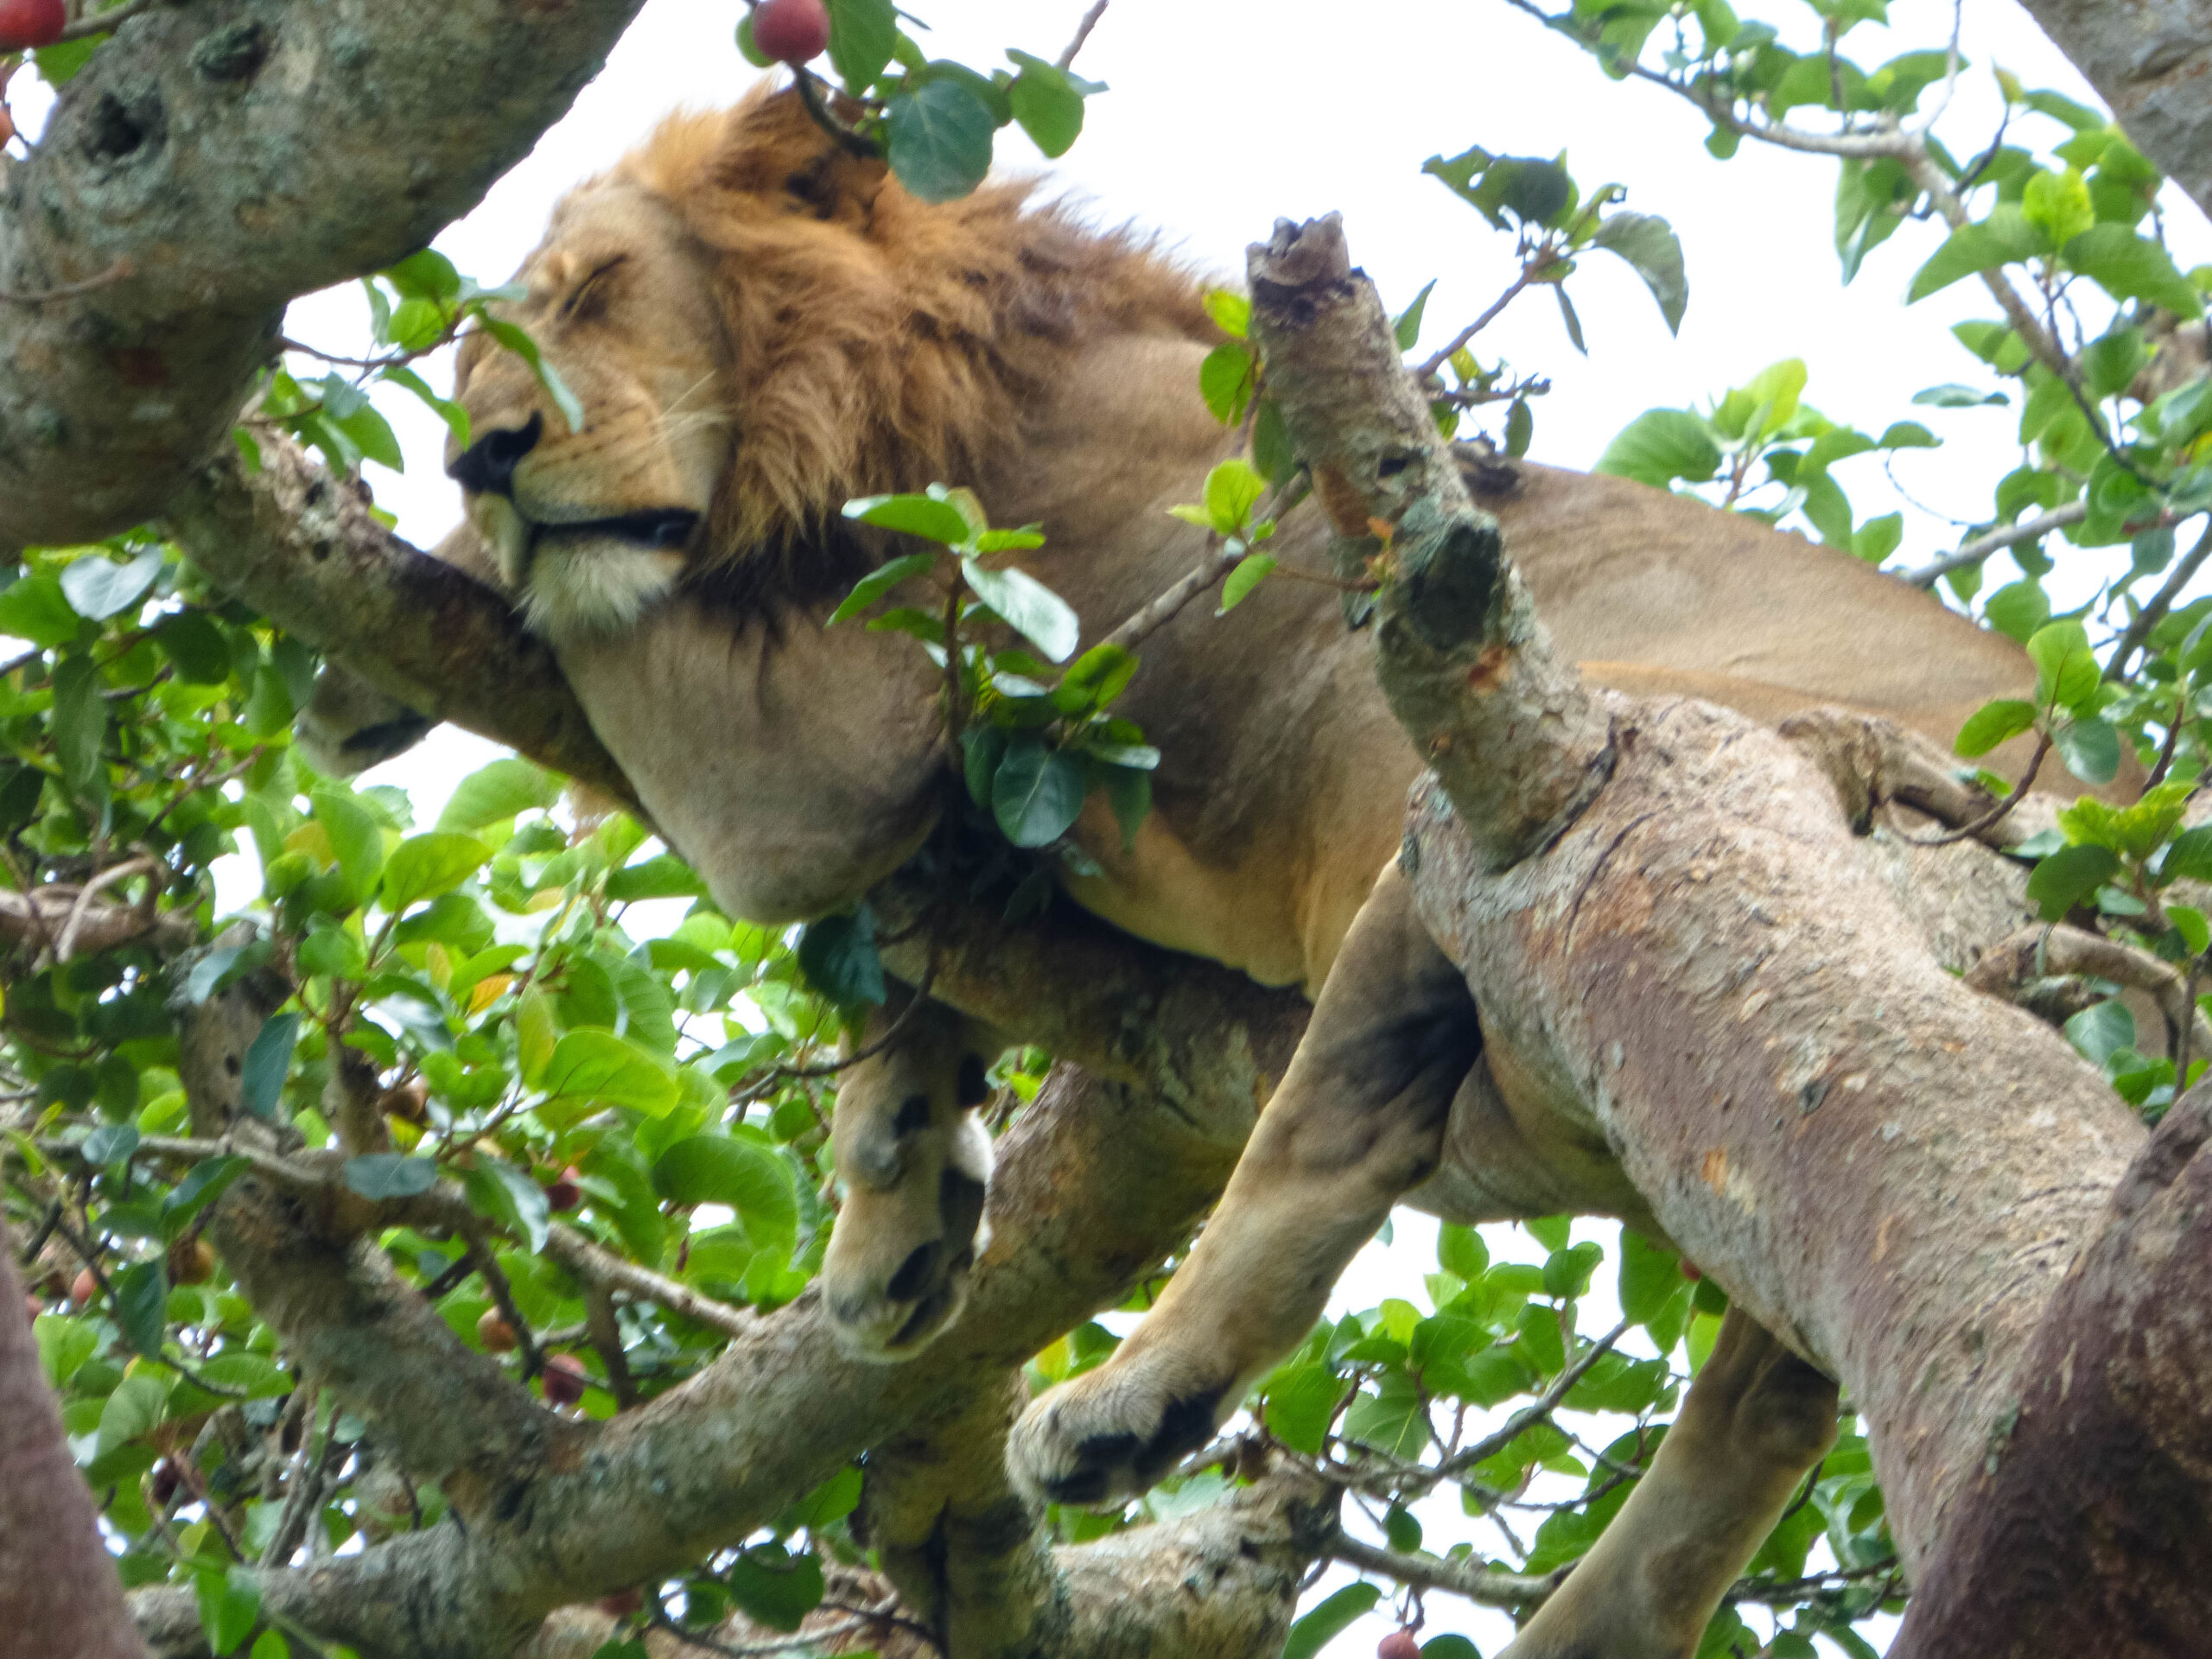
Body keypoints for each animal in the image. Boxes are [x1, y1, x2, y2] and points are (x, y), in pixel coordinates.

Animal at [314, 84, 2098, 1655]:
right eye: (470, 353)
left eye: (595, 293)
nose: (484, 451)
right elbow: (926, 976)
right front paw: (896, 1198)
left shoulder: (859, 726)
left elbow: (610, 616)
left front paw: (394, 607)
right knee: (1773, 1386)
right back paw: (1586, 1625)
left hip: (1561, 786)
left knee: (1348, 1126)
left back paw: (1126, 1406)